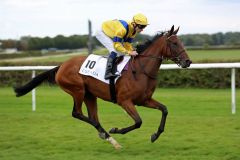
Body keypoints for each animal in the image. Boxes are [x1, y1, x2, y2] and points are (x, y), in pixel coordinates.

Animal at [14, 25, 191, 149]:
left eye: (181, 42)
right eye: (174, 43)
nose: (187, 61)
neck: (141, 70)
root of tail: (61, 66)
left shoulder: (144, 100)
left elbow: (164, 110)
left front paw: (155, 135)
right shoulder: (124, 101)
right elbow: (138, 122)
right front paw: (116, 129)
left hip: (90, 95)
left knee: (92, 117)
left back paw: (108, 138)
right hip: (78, 90)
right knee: (77, 113)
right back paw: (108, 135)